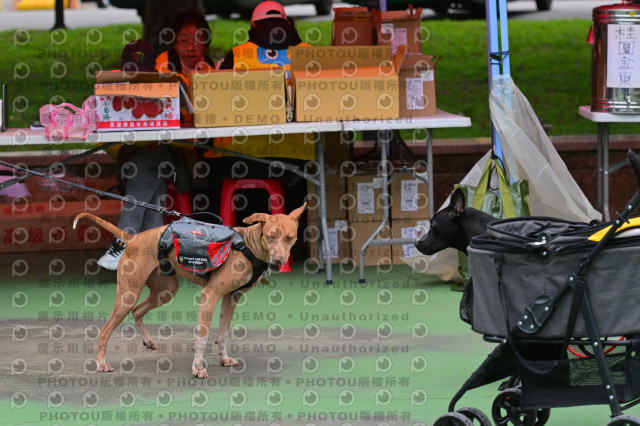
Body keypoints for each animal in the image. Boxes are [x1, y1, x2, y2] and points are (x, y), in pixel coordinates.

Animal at [74, 203, 306, 378]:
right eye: (270, 236)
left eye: (289, 237)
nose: (278, 260)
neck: (249, 245)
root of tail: (134, 237)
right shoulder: (210, 295)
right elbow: (202, 337)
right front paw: (198, 368)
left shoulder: (231, 298)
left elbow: (222, 334)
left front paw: (223, 359)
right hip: (128, 294)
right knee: (105, 330)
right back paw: (102, 363)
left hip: (165, 290)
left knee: (138, 311)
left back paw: (147, 341)